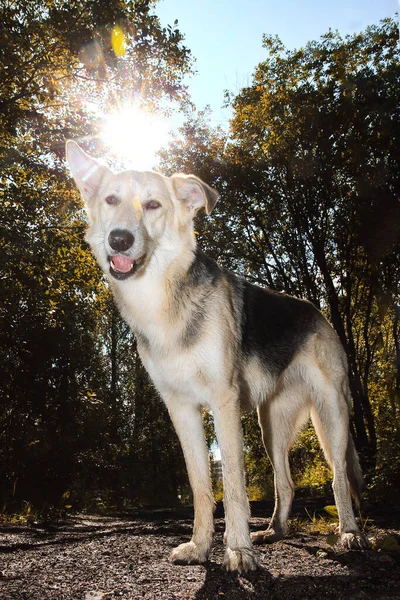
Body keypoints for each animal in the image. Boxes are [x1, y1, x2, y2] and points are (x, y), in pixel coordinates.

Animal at [65, 141, 366, 572]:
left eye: (153, 205)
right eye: (111, 200)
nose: (119, 239)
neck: (160, 302)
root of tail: (315, 310)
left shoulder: (224, 404)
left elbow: (235, 487)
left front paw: (238, 550)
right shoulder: (182, 410)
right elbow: (201, 487)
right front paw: (201, 546)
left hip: (333, 416)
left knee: (339, 476)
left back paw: (350, 533)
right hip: (271, 426)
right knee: (286, 482)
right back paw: (275, 531)